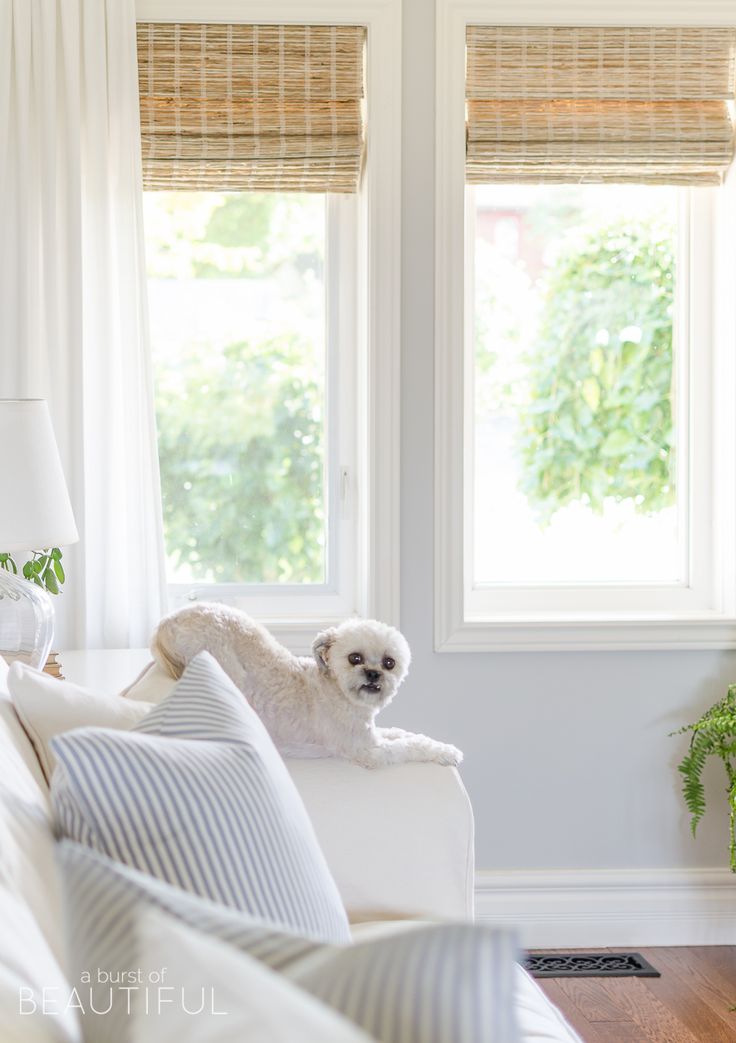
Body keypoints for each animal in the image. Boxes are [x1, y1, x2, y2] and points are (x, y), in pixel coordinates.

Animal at [149, 604, 458, 767]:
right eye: (354, 658)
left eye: (389, 662)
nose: (373, 674)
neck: (334, 690)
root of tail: (169, 620)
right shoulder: (368, 751)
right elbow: (409, 745)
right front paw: (446, 752)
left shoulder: (370, 734)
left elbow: (399, 732)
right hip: (222, 660)